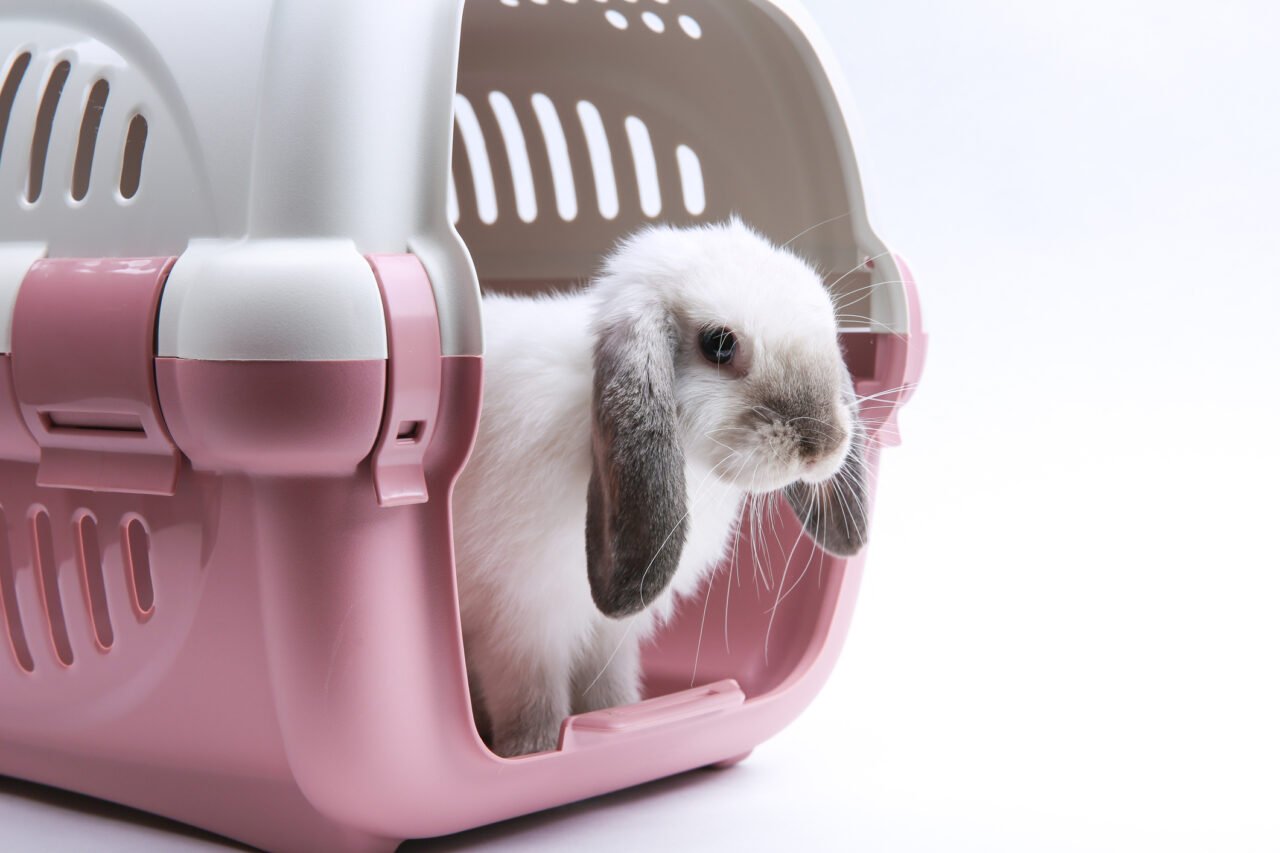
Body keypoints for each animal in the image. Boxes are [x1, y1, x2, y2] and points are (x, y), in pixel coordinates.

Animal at [451, 218, 869, 757]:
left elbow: (607, 690)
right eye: (718, 344)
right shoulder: (521, 626)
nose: (824, 445)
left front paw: (619, 716)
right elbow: (532, 703)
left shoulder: (606, 635)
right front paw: (532, 753)